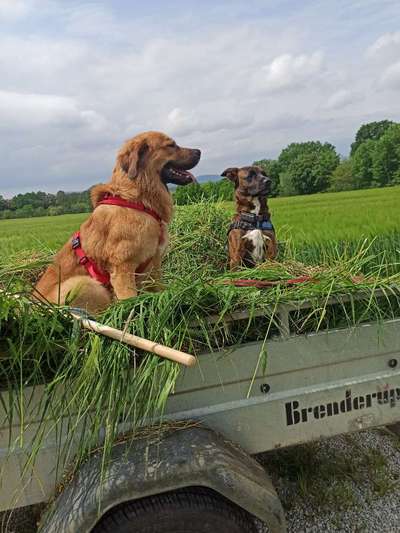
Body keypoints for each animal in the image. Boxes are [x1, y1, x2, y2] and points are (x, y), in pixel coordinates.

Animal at [35, 131, 200, 312]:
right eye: (171, 145)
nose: (199, 151)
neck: (138, 200)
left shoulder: (154, 266)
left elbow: (159, 290)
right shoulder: (123, 270)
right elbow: (130, 302)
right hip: (85, 284)